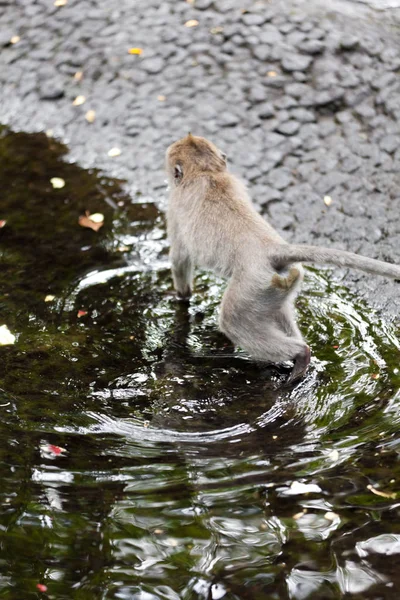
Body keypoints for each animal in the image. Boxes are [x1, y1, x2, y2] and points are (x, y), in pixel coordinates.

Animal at [165, 134, 400, 382]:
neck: (206, 172)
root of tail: (271, 248)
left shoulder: (174, 206)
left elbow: (180, 258)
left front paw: (181, 297)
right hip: (277, 283)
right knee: (277, 312)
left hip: (250, 284)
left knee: (232, 322)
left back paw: (301, 355)